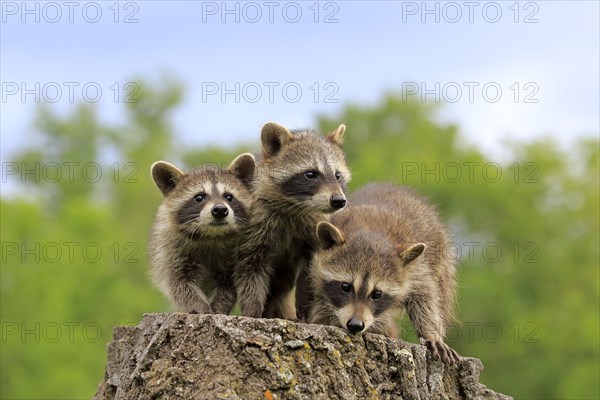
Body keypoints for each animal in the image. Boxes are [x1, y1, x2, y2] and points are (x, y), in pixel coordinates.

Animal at [149, 155, 255, 314]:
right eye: (199, 197)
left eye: (229, 197)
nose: (220, 210)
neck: (211, 236)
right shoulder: (171, 249)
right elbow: (180, 283)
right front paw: (198, 306)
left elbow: (229, 285)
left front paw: (219, 306)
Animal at [233, 120, 350, 320]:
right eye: (310, 174)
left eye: (337, 175)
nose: (338, 201)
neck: (295, 206)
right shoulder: (256, 221)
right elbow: (250, 267)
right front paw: (252, 309)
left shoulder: (314, 228)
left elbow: (310, 270)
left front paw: (304, 305)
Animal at [310, 183, 460, 364]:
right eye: (345, 287)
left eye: (377, 294)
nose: (355, 325)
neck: (370, 232)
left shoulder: (415, 269)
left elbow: (425, 295)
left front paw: (431, 333)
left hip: (441, 260)